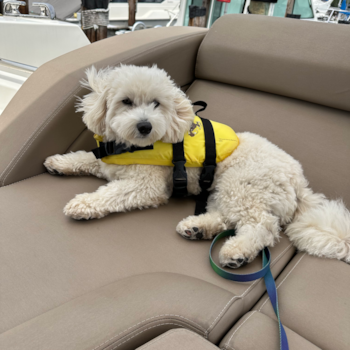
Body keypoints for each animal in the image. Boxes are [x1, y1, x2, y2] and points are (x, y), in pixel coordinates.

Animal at [45, 65, 350, 268]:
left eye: (157, 104)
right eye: (126, 101)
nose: (145, 126)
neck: (130, 147)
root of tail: (300, 183)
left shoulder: (147, 186)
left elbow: (111, 193)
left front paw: (82, 204)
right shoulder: (107, 162)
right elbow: (85, 158)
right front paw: (58, 162)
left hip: (241, 185)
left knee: (262, 225)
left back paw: (236, 252)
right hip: (223, 190)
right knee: (227, 218)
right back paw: (197, 227)